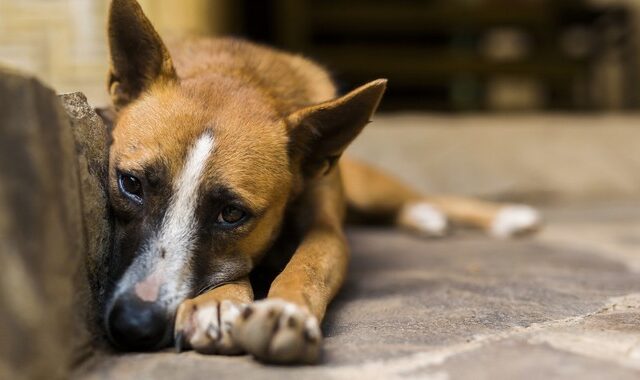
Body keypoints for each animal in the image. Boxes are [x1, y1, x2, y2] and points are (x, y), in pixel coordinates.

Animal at [101, 0, 540, 364]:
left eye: (231, 213)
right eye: (131, 184)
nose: (134, 324)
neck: (240, 75)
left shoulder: (328, 233)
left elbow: (306, 267)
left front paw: (284, 312)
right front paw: (220, 302)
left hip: (371, 189)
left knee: (428, 196)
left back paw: (492, 216)